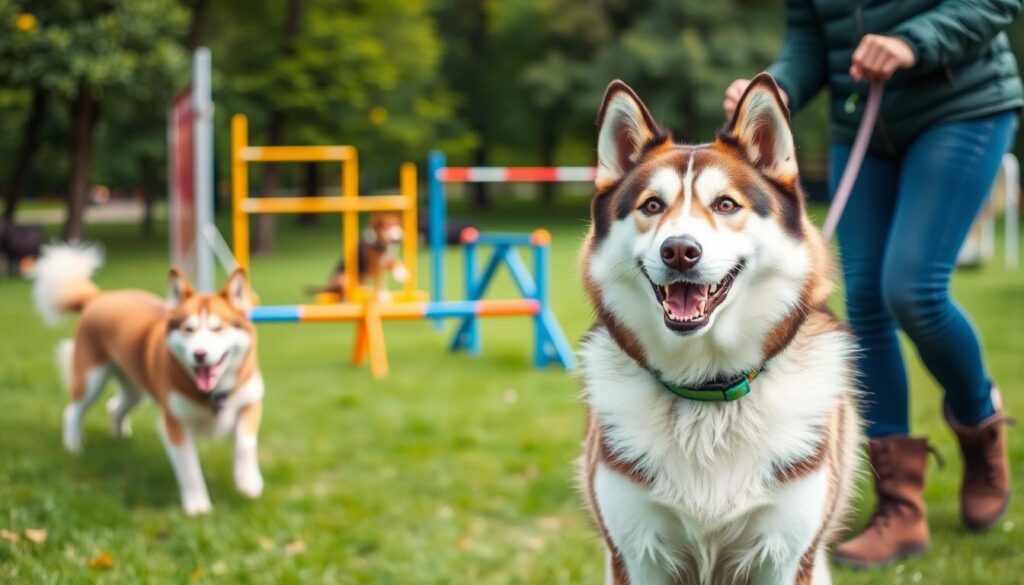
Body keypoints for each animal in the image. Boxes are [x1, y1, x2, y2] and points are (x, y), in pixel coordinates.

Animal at [33, 244, 264, 514]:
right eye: (189, 329)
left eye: (218, 328)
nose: (199, 354)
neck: (212, 392)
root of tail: (98, 297)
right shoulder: (174, 423)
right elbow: (189, 468)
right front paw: (197, 506)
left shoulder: (250, 401)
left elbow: (245, 444)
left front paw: (249, 482)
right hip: (91, 379)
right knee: (72, 412)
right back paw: (73, 447)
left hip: (136, 388)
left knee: (114, 406)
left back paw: (120, 437)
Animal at [581, 73, 860, 585]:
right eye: (653, 205)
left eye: (726, 204)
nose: (679, 250)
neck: (707, 392)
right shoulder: (636, 553)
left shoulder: (785, 554)